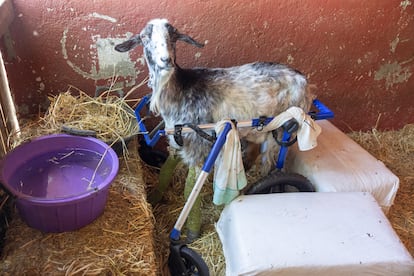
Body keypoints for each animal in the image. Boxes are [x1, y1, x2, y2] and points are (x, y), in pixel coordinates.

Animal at [115, 18, 312, 175]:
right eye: (144, 37)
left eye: (173, 37)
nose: (165, 60)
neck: (181, 88)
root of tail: (303, 80)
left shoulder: (197, 143)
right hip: (259, 130)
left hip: (282, 128)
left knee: (269, 161)